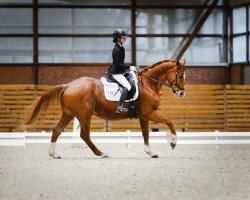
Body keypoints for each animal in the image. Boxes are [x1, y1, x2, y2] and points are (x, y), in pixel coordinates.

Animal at [23, 58, 186, 159]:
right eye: (180, 75)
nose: (181, 93)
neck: (147, 84)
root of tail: (68, 85)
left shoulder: (143, 115)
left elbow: (146, 133)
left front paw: (150, 152)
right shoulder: (148, 113)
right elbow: (168, 120)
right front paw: (173, 142)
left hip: (69, 114)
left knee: (57, 130)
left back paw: (54, 154)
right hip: (84, 115)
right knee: (84, 135)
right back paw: (101, 153)